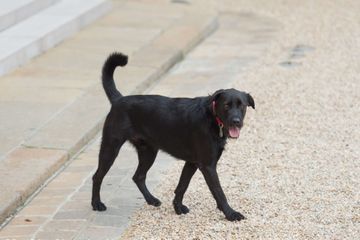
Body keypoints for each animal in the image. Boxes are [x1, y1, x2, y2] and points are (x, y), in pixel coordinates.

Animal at [91, 52, 255, 221]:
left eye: (242, 105)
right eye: (226, 105)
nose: (236, 121)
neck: (213, 118)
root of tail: (118, 99)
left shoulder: (192, 163)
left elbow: (182, 186)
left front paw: (178, 207)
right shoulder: (207, 166)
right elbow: (219, 192)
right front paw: (230, 213)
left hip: (148, 152)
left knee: (138, 176)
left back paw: (151, 200)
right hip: (110, 148)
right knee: (97, 176)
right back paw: (97, 204)